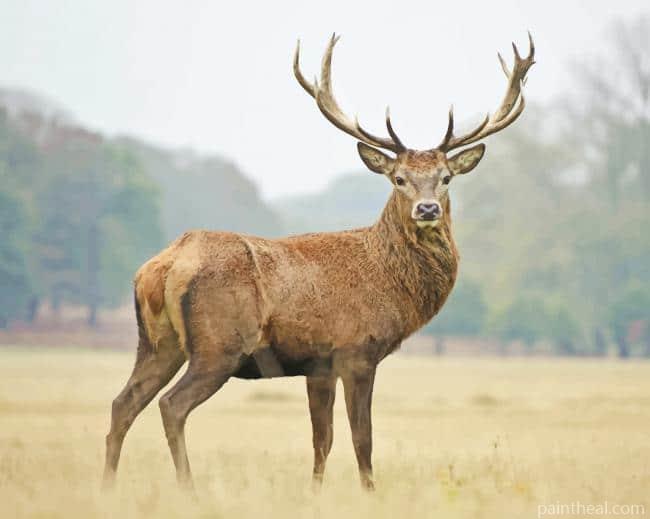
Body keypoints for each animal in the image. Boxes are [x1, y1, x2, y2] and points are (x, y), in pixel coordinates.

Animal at [102, 33, 535, 492]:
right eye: (398, 179)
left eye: (446, 178)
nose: (428, 208)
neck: (389, 281)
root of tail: (164, 265)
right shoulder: (356, 350)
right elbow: (362, 438)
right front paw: (370, 492)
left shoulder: (318, 364)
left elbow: (321, 439)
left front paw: (314, 492)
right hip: (219, 345)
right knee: (171, 405)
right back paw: (188, 489)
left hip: (157, 342)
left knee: (123, 403)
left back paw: (108, 486)